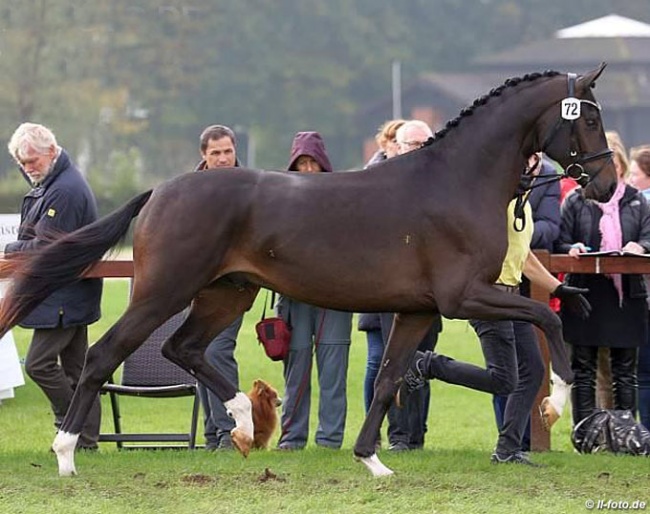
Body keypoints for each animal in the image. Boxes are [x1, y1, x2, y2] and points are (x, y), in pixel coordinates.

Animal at [0, 65, 612, 476]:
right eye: (589, 117)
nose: (605, 185)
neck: (456, 181)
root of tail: (160, 191)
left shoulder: (419, 310)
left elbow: (389, 377)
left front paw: (372, 462)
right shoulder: (465, 296)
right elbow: (547, 318)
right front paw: (556, 404)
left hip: (227, 293)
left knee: (184, 348)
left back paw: (244, 421)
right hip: (164, 291)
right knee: (106, 354)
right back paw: (66, 455)